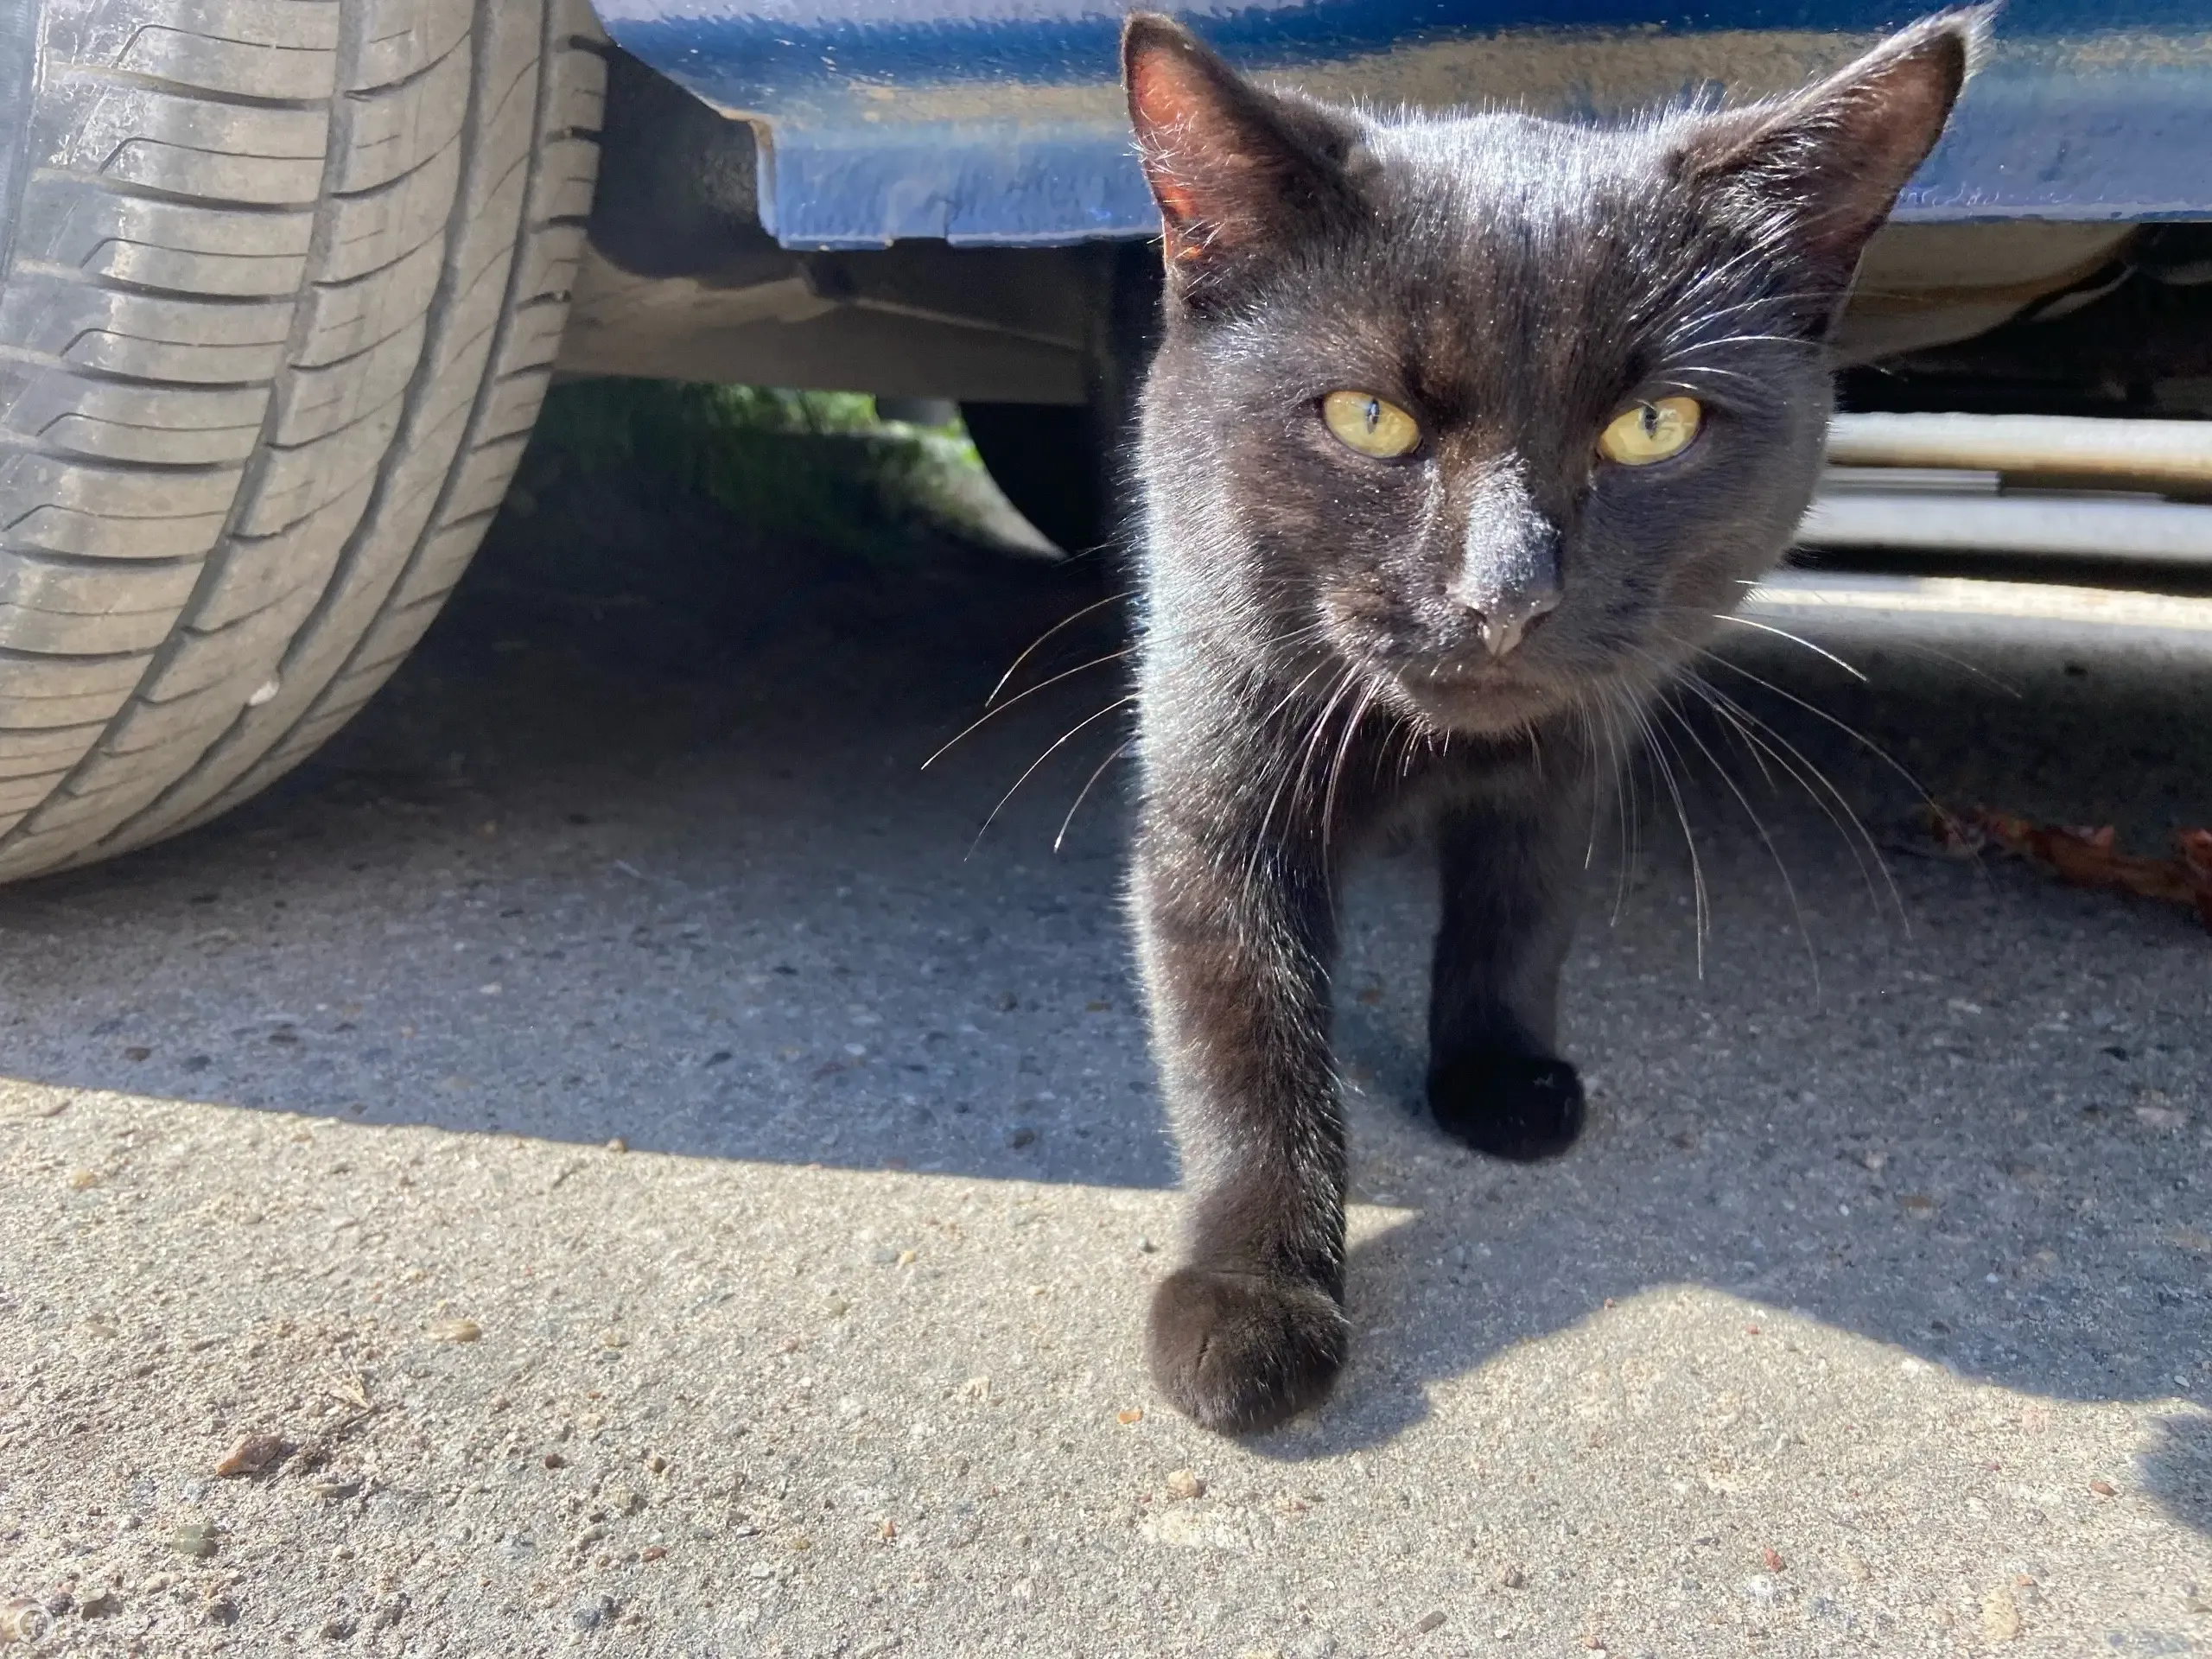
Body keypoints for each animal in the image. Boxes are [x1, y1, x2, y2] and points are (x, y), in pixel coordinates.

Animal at [1123, 6, 1991, 1433]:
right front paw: (1254, 1294)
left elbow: (1519, 914)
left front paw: (1497, 1070)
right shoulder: (1217, 789)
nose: (1509, 592)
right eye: (1369, 418)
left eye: (1655, 425)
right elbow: (1242, 1036)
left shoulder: (1575, 757)